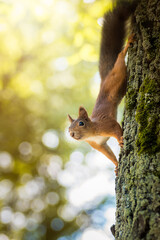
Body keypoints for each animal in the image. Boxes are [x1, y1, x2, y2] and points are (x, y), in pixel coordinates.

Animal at [67, 1, 136, 174]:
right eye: (68, 128)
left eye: (81, 123)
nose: (72, 134)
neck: (92, 133)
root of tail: (104, 78)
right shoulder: (99, 144)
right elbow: (109, 154)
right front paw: (117, 166)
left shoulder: (107, 125)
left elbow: (117, 129)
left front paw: (121, 141)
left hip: (118, 74)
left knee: (120, 57)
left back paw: (127, 44)